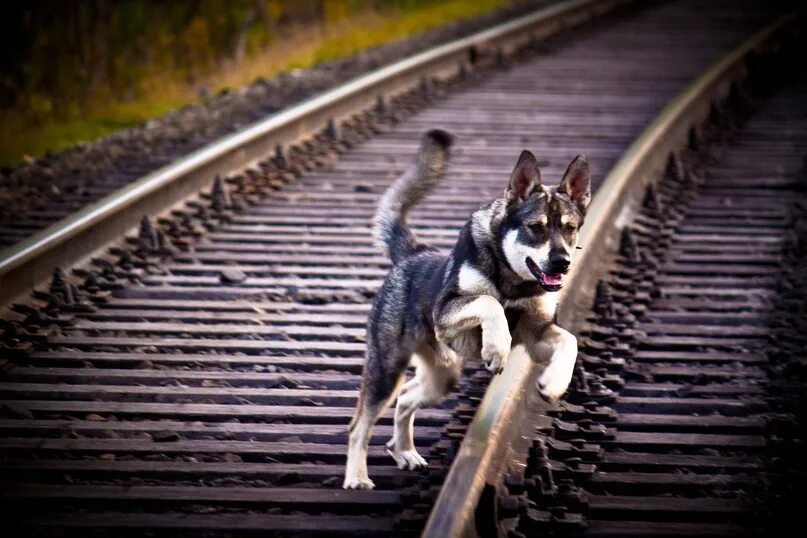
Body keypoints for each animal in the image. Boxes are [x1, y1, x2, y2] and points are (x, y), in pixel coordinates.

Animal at [344, 129, 592, 486]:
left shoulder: (538, 334)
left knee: (405, 397)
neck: (513, 282)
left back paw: (404, 451)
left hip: (443, 376)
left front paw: (554, 383)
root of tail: (413, 255)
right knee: (358, 426)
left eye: (570, 228)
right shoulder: (446, 312)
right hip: (386, 370)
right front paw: (496, 348)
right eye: (536, 227)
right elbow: (490, 303)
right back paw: (357, 477)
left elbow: (569, 341)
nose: (562, 263)